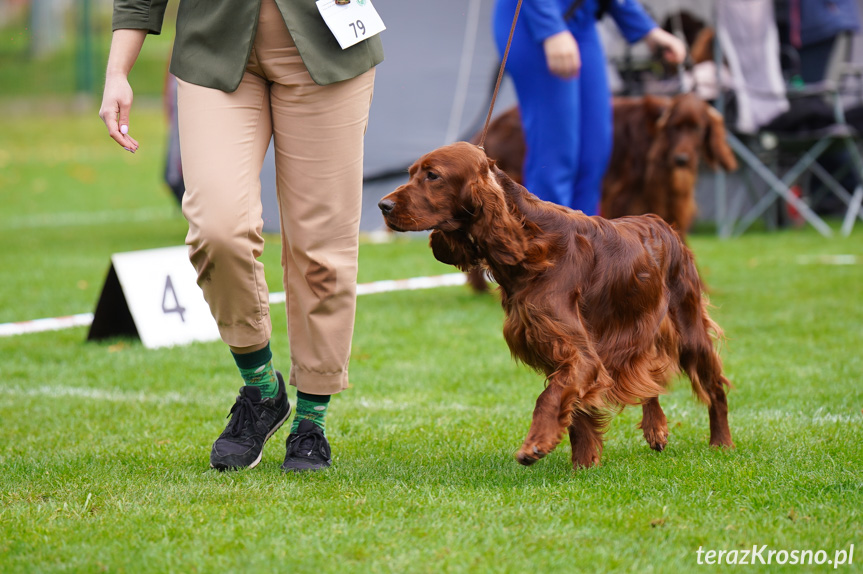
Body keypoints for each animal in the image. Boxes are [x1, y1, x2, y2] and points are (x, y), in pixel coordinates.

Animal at [380, 142, 736, 470]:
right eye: (411, 173)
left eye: (433, 175)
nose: (383, 205)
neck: (530, 245)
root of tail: (663, 225)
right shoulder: (560, 349)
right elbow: (577, 412)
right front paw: (584, 462)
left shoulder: (579, 353)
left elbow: (550, 397)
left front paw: (536, 443)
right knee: (648, 376)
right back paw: (656, 428)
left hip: (688, 331)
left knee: (715, 388)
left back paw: (721, 443)